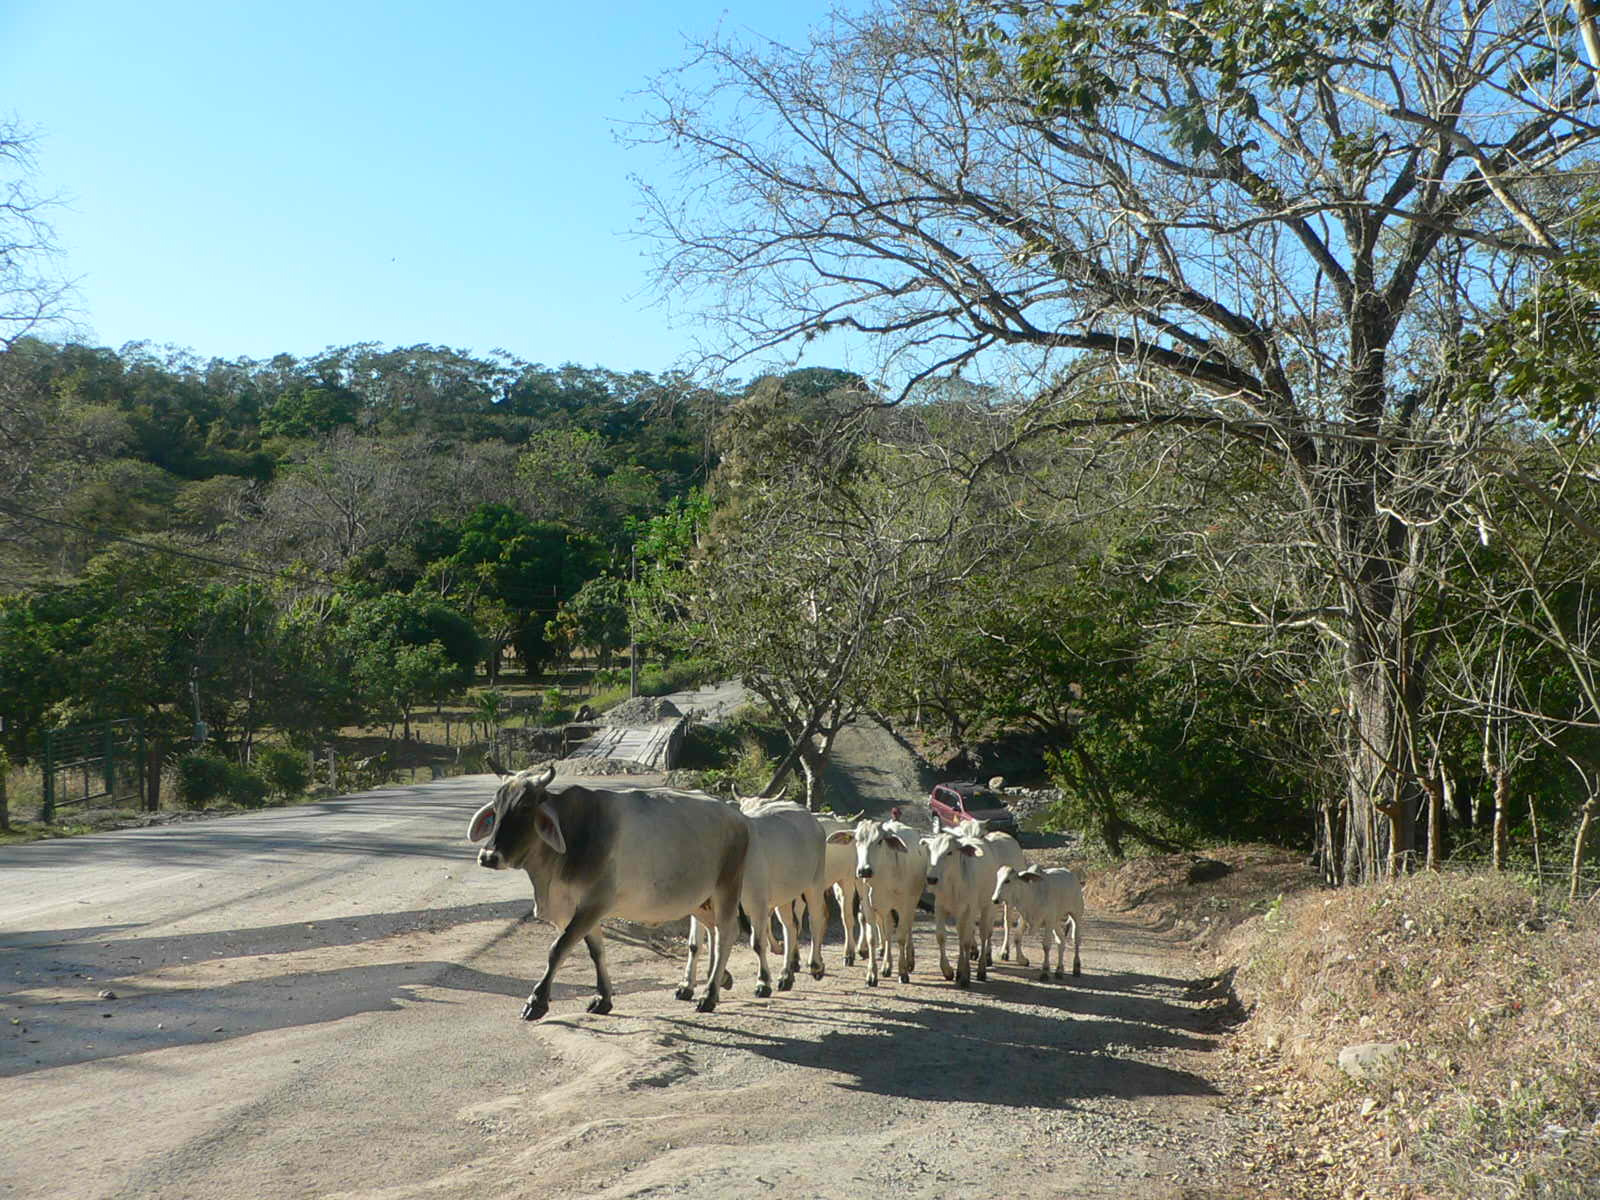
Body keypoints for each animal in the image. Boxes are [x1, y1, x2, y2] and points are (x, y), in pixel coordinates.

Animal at [467, 771, 748, 1024]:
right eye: (496, 807)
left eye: (525, 808)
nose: (488, 856)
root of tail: (736, 814)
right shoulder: (577, 911)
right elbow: (596, 951)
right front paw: (603, 999)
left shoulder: (593, 905)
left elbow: (558, 949)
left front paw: (536, 1002)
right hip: (700, 900)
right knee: (713, 932)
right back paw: (719, 980)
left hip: (726, 888)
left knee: (725, 935)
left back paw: (709, 996)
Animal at [921, 832, 992, 992]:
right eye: (930, 850)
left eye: (949, 852)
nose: (931, 878)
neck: (953, 884)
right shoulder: (939, 907)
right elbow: (941, 936)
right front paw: (948, 971)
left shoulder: (970, 909)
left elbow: (966, 941)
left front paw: (966, 976)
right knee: (961, 935)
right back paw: (959, 970)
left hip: (986, 905)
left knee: (983, 935)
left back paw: (981, 969)